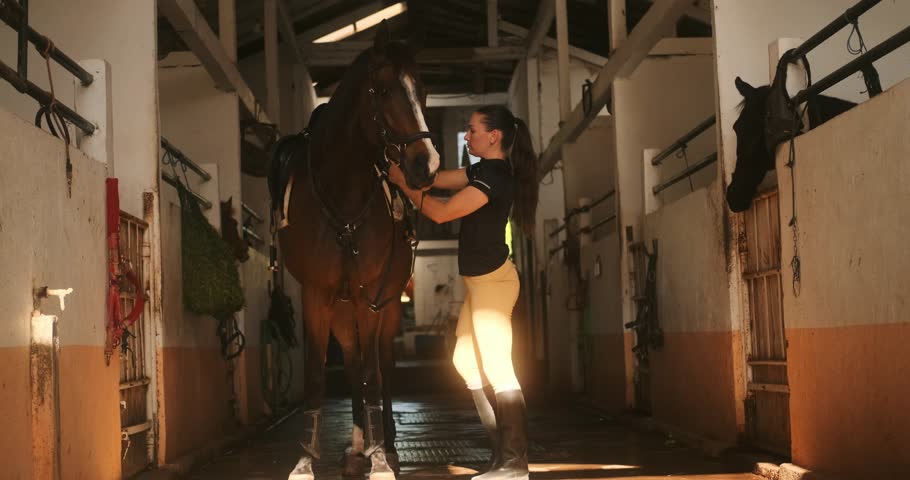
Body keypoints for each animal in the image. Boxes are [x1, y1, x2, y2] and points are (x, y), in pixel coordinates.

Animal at [272, 21, 440, 480]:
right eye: (383, 91)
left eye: (422, 90)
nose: (427, 165)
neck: (342, 200)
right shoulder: (317, 294)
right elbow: (319, 376)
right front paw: (304, 462)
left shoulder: (372, 295)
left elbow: (373, 375)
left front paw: (381, 460)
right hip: (343, 308)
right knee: (351, 362)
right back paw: (357, 446)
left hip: (384, 305)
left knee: (379, 364)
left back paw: (387, 447)